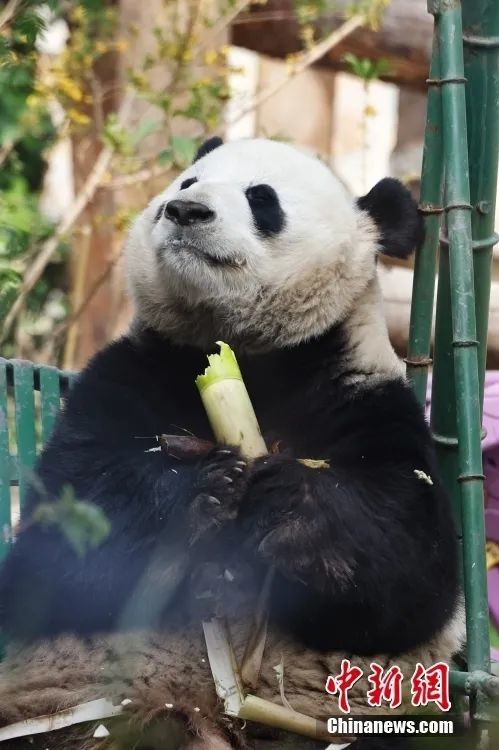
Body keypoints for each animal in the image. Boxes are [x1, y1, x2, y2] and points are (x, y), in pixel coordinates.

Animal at [0, 137, 462, 750]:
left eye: (262, 199)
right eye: (187, 182)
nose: (186, 211)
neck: (245, 353)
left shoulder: (366, 399)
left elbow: (414, 573)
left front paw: (292, 509)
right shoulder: (127, 376)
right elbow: (55, 543)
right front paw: (198, 492)